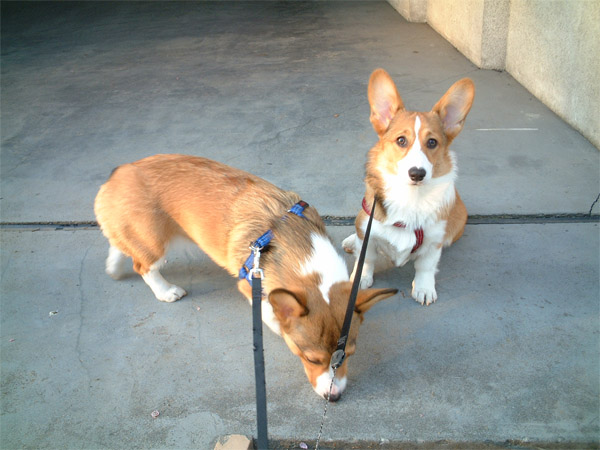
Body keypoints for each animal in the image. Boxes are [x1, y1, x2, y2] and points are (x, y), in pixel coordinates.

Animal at [94, 154, 397, 401]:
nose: (333, 398)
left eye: (349, 355)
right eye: (310, 359)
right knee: (142, 265)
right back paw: (165, 291)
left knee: (121, 245)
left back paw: (113, 266)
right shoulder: (251, 285)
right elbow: (271, 314)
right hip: (155, 242)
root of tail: (119, 172)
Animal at [342, 69, 475, 306]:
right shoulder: (370, 232)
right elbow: (366, 258)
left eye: (432, 142)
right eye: (401, 140)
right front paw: (360, 279)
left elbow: (426, 266)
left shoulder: (433, 242)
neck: (410, 196)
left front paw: (424, 288)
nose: (417, 173)